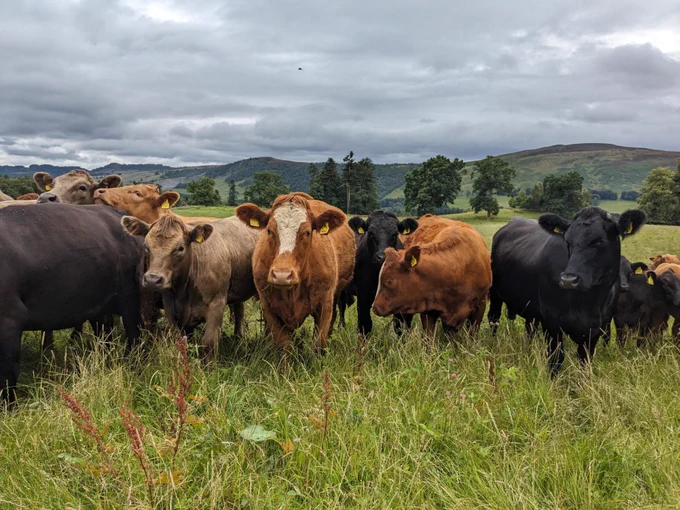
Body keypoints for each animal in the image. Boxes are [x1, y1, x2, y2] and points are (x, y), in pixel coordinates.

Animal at [0, 204, 144, 403]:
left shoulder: (9, 320)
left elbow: (7, 375)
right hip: (99, 306)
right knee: (104, 336)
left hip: (130, 300)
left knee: (135, 337)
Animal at [121, 214, 260, 358]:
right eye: (146, 247)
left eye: (180, 248)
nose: (153, 279)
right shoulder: (170, 307)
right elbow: (179, 340)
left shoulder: (216, 304)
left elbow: (209, 343)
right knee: (239, 309)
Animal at [236, 192, 355, 352]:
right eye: (269, 230)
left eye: (307, 232)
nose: (282, 275)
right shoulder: (269, 308)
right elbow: (284, 346)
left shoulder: (325, 306)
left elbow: (318, 345)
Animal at [488, 207, 646, 376]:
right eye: (567, 241)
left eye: (599, 241)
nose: (568, 280)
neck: (589, 301)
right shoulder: (551, 321)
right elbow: (556, 358)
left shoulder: (597, 327)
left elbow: (585, 360)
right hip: (495, 295)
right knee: (493, 320)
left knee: (530, 328)